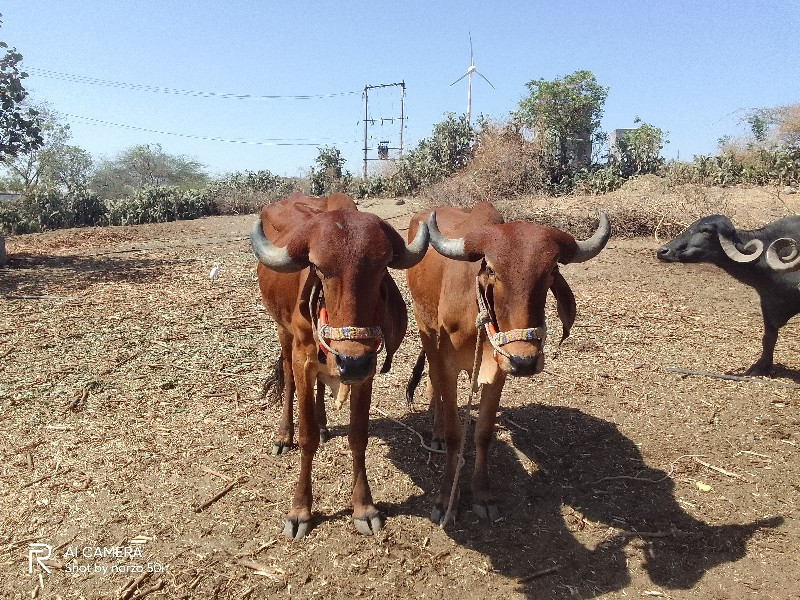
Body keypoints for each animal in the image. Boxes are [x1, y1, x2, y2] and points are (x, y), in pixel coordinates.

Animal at [252, 193, 432, 540]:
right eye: (318, 268)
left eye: (381, 266)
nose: (351, 361)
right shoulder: (304, 357)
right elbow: (307, 437)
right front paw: (300, 511)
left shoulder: (367, 371)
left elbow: (358, 436)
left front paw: (364, 507)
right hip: (283, 333)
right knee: (289, 381)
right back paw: (284, 435)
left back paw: (324, 424)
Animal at [406, 200, 612, 520]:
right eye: (491, 269)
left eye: (551, 270)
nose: (524, 361)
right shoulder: (448, 363)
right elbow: (454, 433)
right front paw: (445, 499)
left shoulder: (499, 369)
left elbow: (483, 432)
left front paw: (482, 495)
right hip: (424, 327)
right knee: (434, 379)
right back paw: (436, 431)